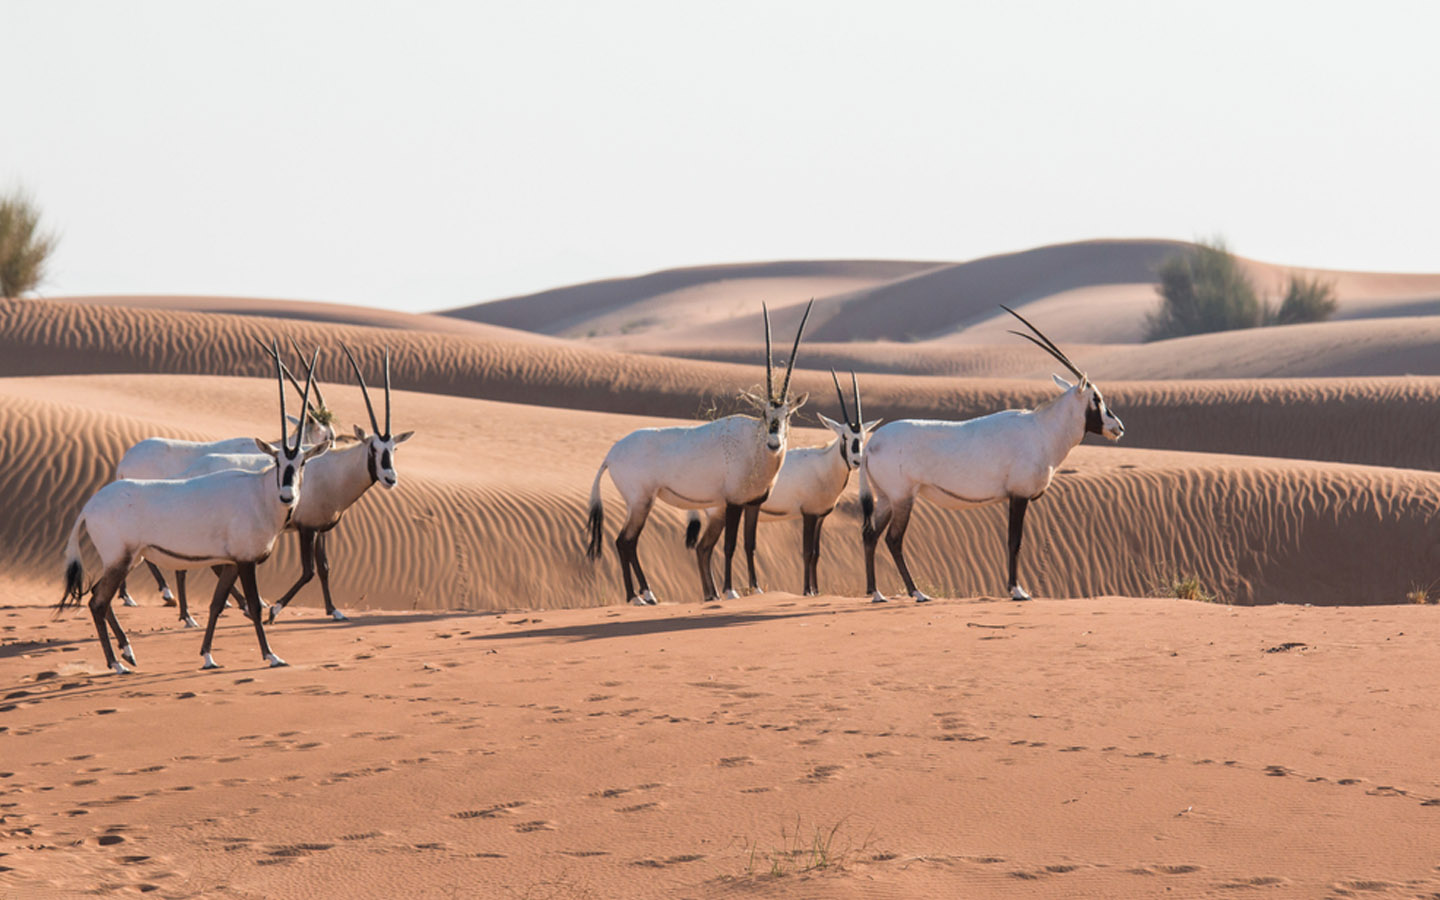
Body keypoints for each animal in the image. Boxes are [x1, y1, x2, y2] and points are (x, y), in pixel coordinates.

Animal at [59, 345, 330, 673]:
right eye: (278, 461)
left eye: (302, 462)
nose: (287, 496)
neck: (259, 491)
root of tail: (89, 506)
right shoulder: (245, 562)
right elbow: (253, 607)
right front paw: (271, 656)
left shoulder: (230, 563)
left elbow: (216, 604)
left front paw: (208, 656)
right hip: (120, 559)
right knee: (97, 601)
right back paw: (118, 663)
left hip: (128, 559)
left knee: (100, 597)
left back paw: (128, 653)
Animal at [586, 301, 813, 604]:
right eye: (764, 413)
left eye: (788, 414)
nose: (774, 443)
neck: (753, 446)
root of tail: (610, 455)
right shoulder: (733, 502)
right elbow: (730, 546)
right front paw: (730, 591)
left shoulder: (753, 503)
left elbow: (749, 545)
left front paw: (756, 589)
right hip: (640, 501)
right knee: (625, 541)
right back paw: (637, 596)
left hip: (640, 503)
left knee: (629, 542)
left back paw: (648, 595)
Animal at [684, 370, 880, 596]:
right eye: (845, 436)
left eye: (862, 437)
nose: (856, 461)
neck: (824, 463)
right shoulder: (809, 514)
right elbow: (807, 552)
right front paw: (807, 591)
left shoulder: (820, 517)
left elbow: (816, 554)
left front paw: (816, 591)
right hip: (721, 513)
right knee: (704, 548)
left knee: (703, 549)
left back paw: (712, 595)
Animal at [858, 306, 1124, 603]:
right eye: (1096, 399)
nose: (1118, 427)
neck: (1042, 429)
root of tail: (871, 445)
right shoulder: (1019, 495)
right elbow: (1014, 541)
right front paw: (1017, 590)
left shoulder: (1014, 496)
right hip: (903, 497)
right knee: (893, 539)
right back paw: (917, 593)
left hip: (886, 499)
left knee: (870, 535)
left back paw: (876, 593)